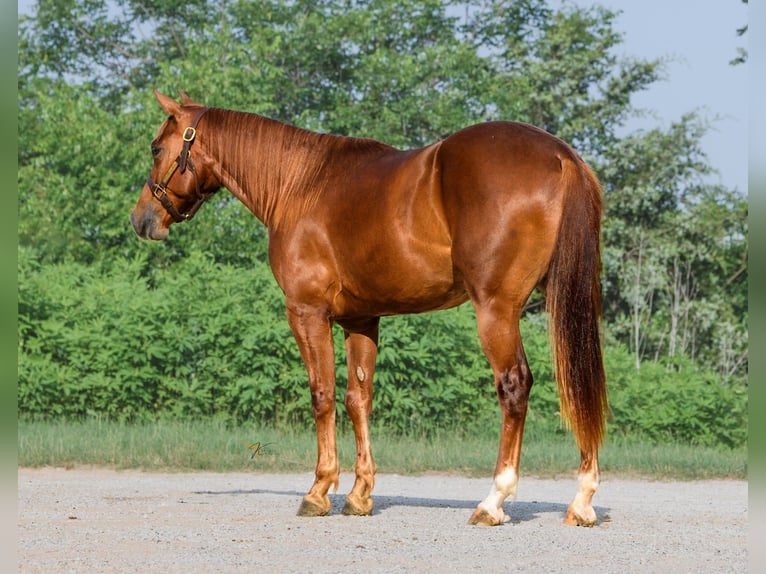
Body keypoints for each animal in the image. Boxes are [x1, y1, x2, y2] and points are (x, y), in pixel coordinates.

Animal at [130, 90, 608, 527]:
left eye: (156, 147)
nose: (141, 219)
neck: (302, 184)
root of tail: (561, 156)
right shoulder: (361, 320)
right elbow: (358, 399)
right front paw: (360, 495)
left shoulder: (307, 312)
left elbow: (322, 395)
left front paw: (319, 490)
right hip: (568, 305)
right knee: (578, 384)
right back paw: (581, 501)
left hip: (497, 309)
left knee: (514, 385)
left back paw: (493, 501)